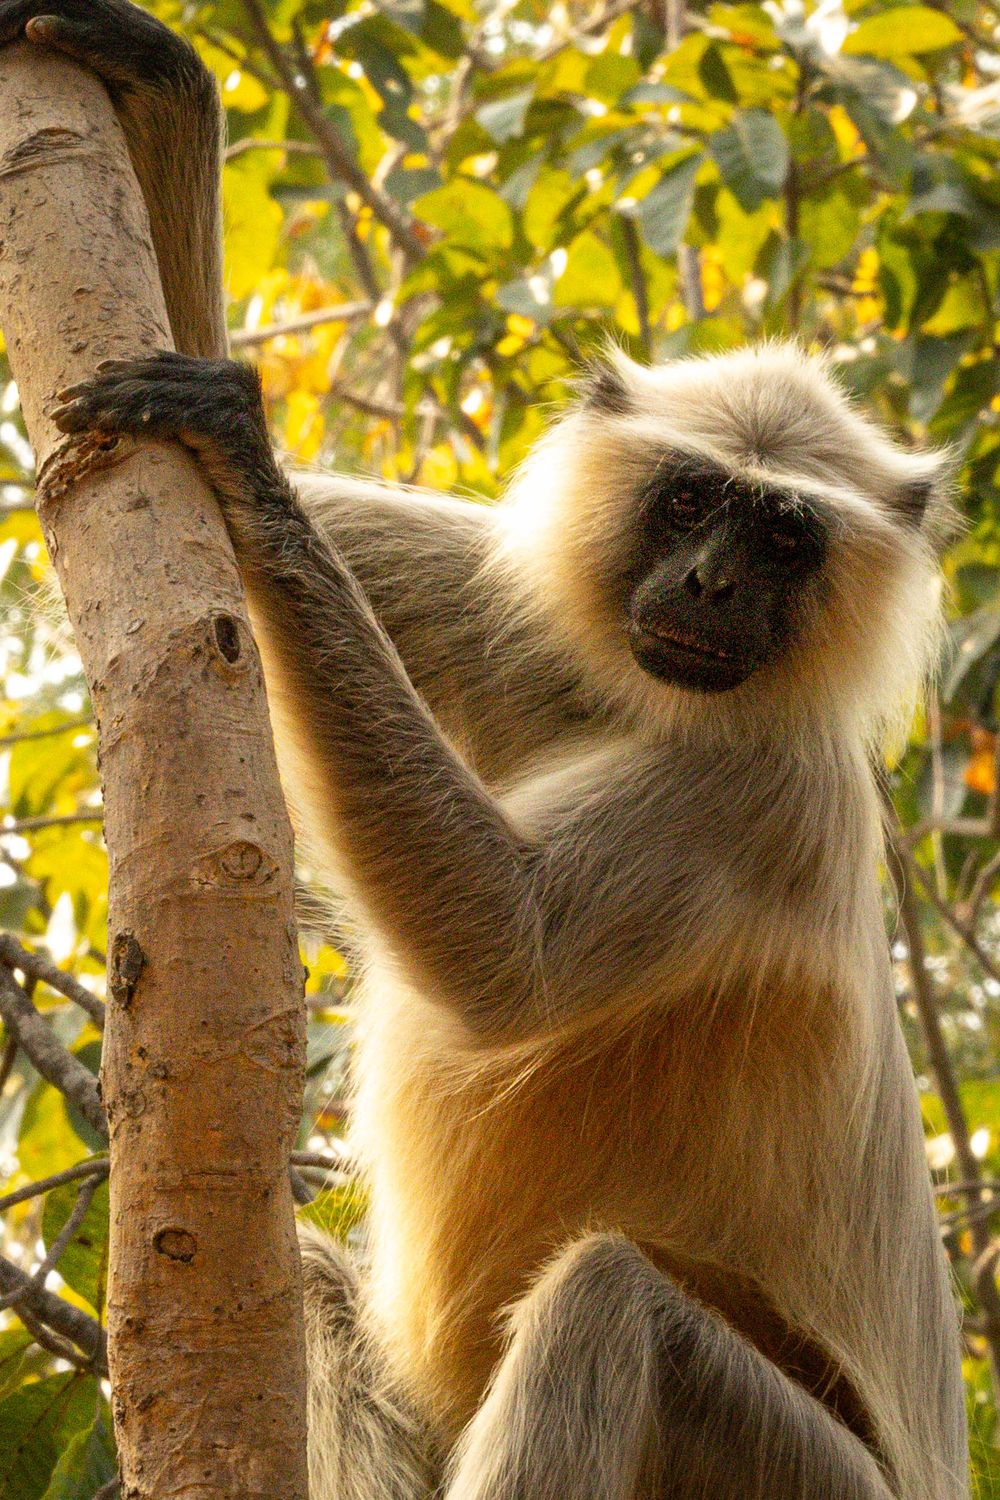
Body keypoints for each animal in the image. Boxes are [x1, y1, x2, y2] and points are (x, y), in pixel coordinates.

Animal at [0, 3, 969, 1496]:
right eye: (689, 502)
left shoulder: (771, 793)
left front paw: (246, 466)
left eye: (783, 536)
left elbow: (502, 959)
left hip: (803, 1472)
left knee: (605, 1301)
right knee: (315, 1278)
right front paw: (165, 90)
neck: (653, 703)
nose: (711, 586)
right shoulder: (528, 617)